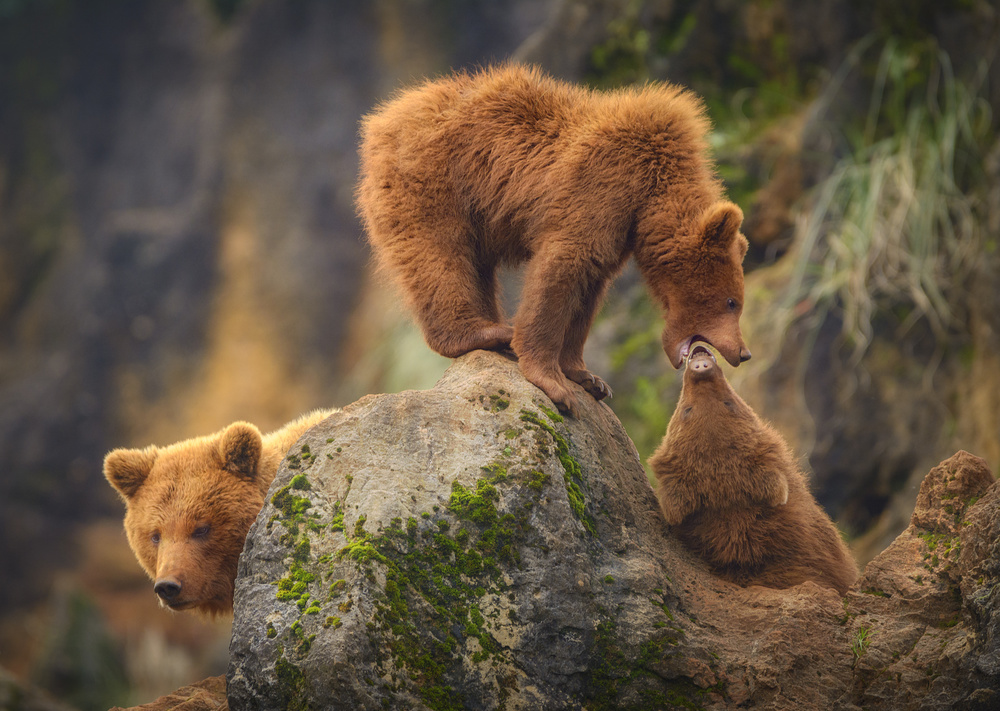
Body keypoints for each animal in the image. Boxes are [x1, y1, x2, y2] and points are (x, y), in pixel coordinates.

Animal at [357, 63, 751, 416]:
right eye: (732, 302)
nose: (743, 353)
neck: (652, 190)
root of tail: (383, 116)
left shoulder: (619, 229)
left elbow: (589, 288)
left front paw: (588, 377)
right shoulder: (601, 186)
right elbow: (561, 268)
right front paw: (554, 383)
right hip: (435, 182)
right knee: (440, 257)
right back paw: (485, 332)